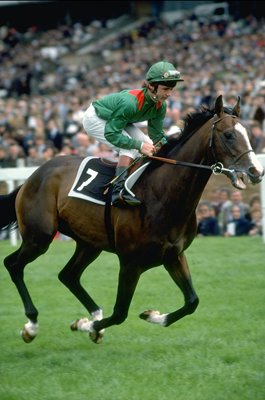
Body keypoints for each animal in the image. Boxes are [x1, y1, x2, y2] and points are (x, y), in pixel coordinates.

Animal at [1, 94, 262, 344]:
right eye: (228, 135)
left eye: (248, 134)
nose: (256, 172)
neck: (161, 194)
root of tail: (33, 176)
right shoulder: (129, 263)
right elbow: (119, 313)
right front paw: (88, 326)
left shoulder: (174, 255)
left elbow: (192, 301)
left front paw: (151, 315)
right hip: (39, 237)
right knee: (13, 265)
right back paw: (32, 325)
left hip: (88, 243)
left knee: (68, 275)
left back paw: (92, 313)